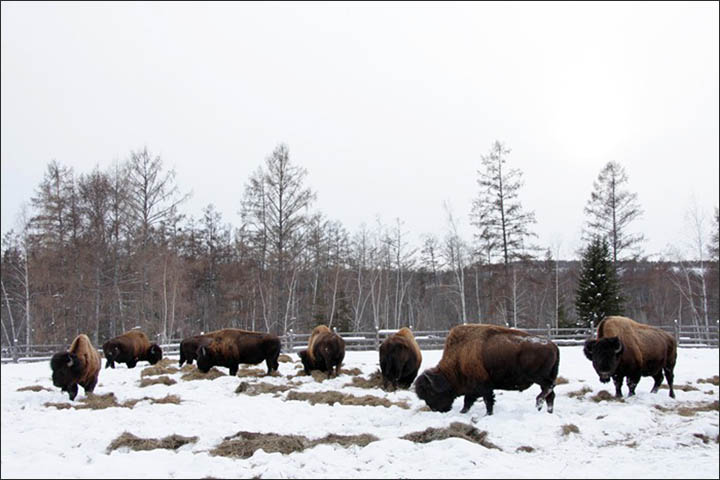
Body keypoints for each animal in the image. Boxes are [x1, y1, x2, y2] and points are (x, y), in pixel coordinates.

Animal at [414, 324, 560, 414]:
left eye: (431, 392)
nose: (435, 409)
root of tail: (553, 345)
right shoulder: (473, 389)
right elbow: (468, 402)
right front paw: (463, 412)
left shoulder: (483, 386)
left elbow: (487, 401)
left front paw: (487, 414)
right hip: (544, 377)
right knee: (551, 394)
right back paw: (547, 411)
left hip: (538, 377)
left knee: (549, 388)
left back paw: (538, 403)